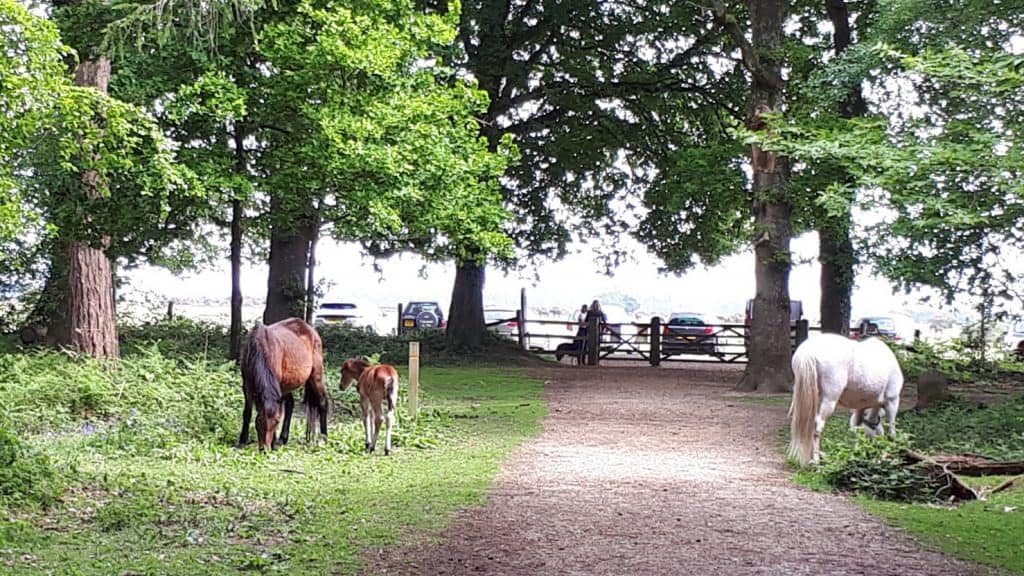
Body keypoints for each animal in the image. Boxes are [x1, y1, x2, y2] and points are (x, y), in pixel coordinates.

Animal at [238, 318, 328, 452]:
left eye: (276, 422)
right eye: (259, 421)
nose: (265, 449)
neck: (260, 348)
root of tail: (309, 329)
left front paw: (273, 443)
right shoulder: (247, 385)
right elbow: (247, 413)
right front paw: (242, 440)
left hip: (315, 375)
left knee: (322, 402)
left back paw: (323, 438)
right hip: (287, 385)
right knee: (290, 405)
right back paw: (283, 438)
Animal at [788, 333, 904, 466]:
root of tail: (808, 351)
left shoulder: (861, 406)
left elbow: (858, 429)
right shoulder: (892, 401)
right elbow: (892, 430)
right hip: (829, 399)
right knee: (818, 425)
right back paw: (817, 460)